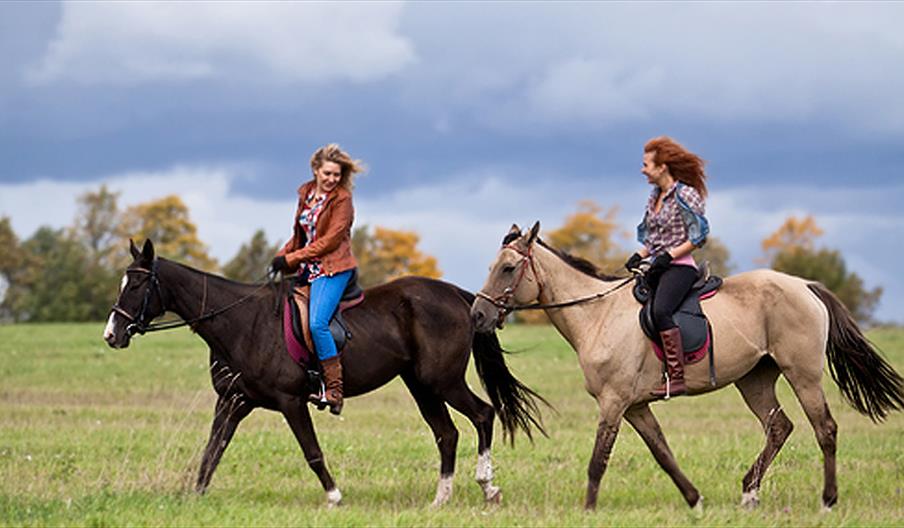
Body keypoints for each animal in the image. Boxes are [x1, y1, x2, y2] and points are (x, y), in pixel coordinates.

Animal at [105, 239, 544, 508]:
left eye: (137, 286)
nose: (112, 334)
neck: (242, 322)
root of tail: (458, 295)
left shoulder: (290, 402)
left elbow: (312, 452)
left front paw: (334, 496)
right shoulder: (233, 401)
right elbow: (213, 451)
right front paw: (195, 496)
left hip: (443, 380)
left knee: (483, 414)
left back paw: (487, 486)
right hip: (420, 385)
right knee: (446, 433)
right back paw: (441, 498)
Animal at [470, 222, 900, 512]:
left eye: (508, 268)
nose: (477, 316)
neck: (597, 315)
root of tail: (805, 285)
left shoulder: (614, 402)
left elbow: (598, 459)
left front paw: (588, 510)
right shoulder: (636, 406)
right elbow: (663, 453)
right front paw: (694, 499)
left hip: (803, 374)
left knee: (824, 428)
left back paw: (828, 499)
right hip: (754, 379)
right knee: (779, 426)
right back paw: (749, 492)